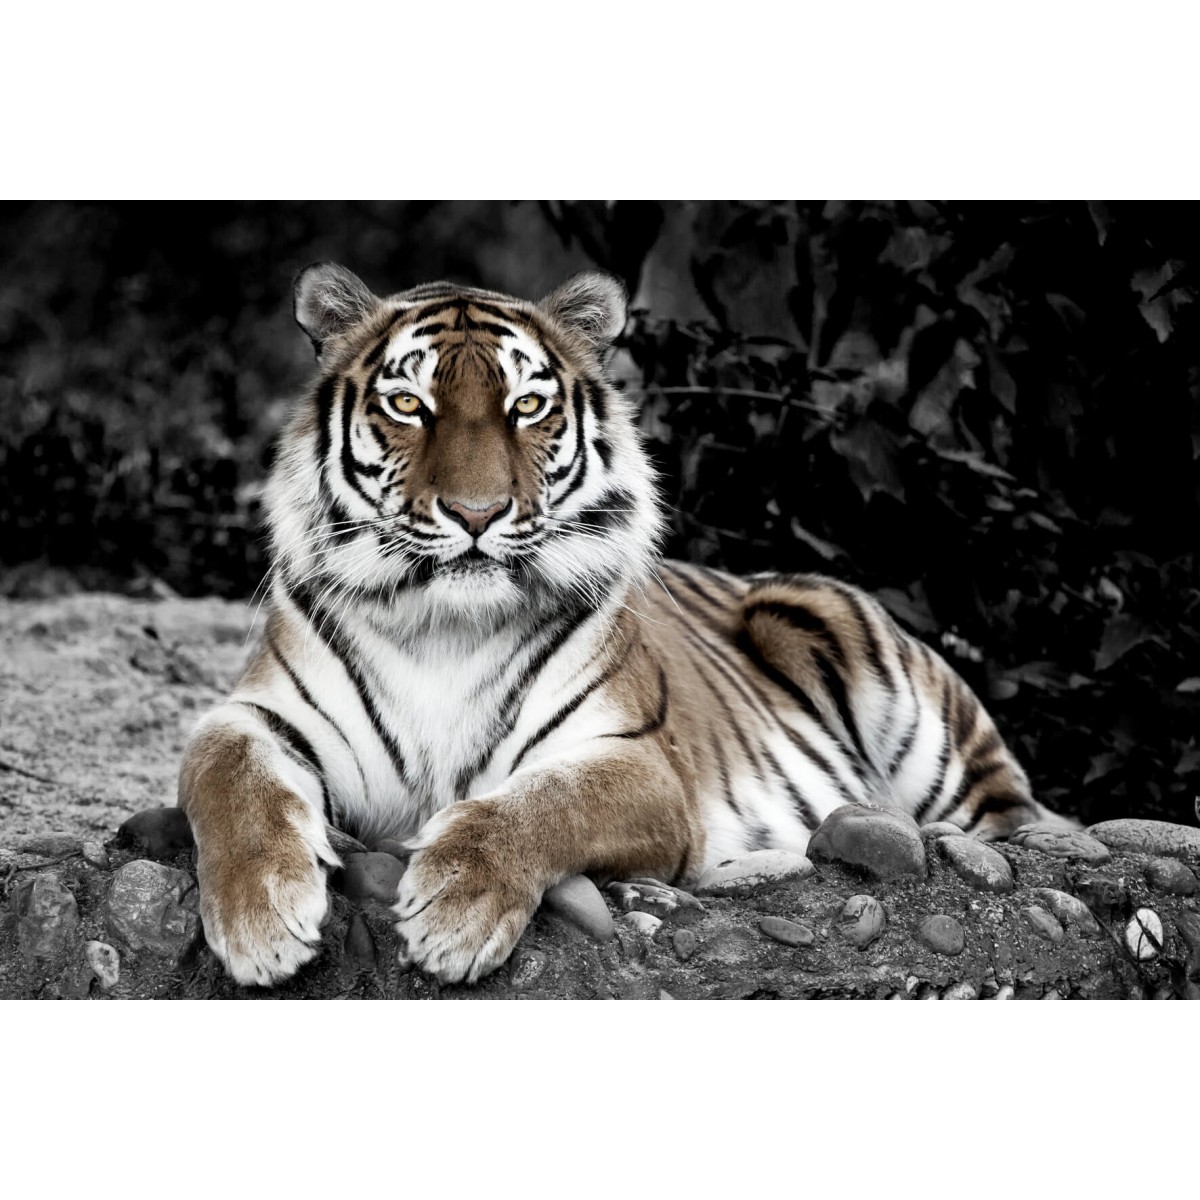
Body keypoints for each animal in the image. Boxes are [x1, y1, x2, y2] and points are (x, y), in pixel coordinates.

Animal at [179, 262, 1071, 987]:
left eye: (527, 407)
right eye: (408, 404)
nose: (476, 513)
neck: (443, 630)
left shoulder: (639, 764)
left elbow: (538, 805)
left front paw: (454, 910)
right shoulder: (259, 715)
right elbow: (231, 776)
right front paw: (262, 921)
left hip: (855, 653)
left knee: (1016, 821)